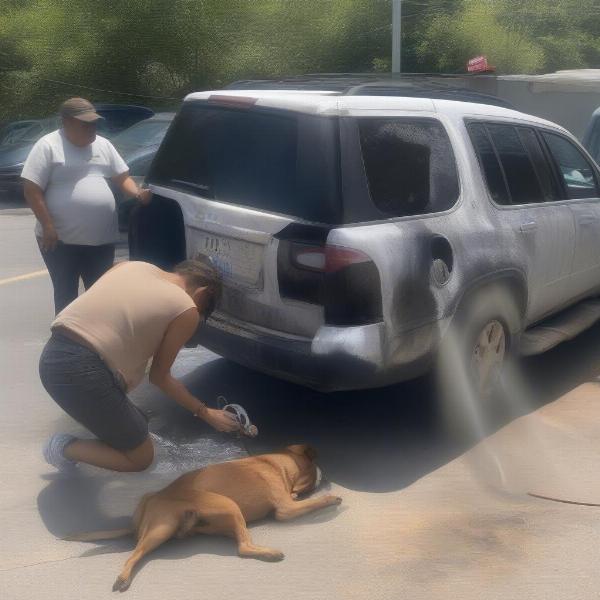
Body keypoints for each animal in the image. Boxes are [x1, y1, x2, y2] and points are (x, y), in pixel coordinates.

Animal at [65, 442, 342, 592]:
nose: (326, 476)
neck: (277, 463)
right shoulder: (286, 508)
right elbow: (313, 502)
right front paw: (331, 499)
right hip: (225, 506)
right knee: (242, 548)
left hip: (164, 529)